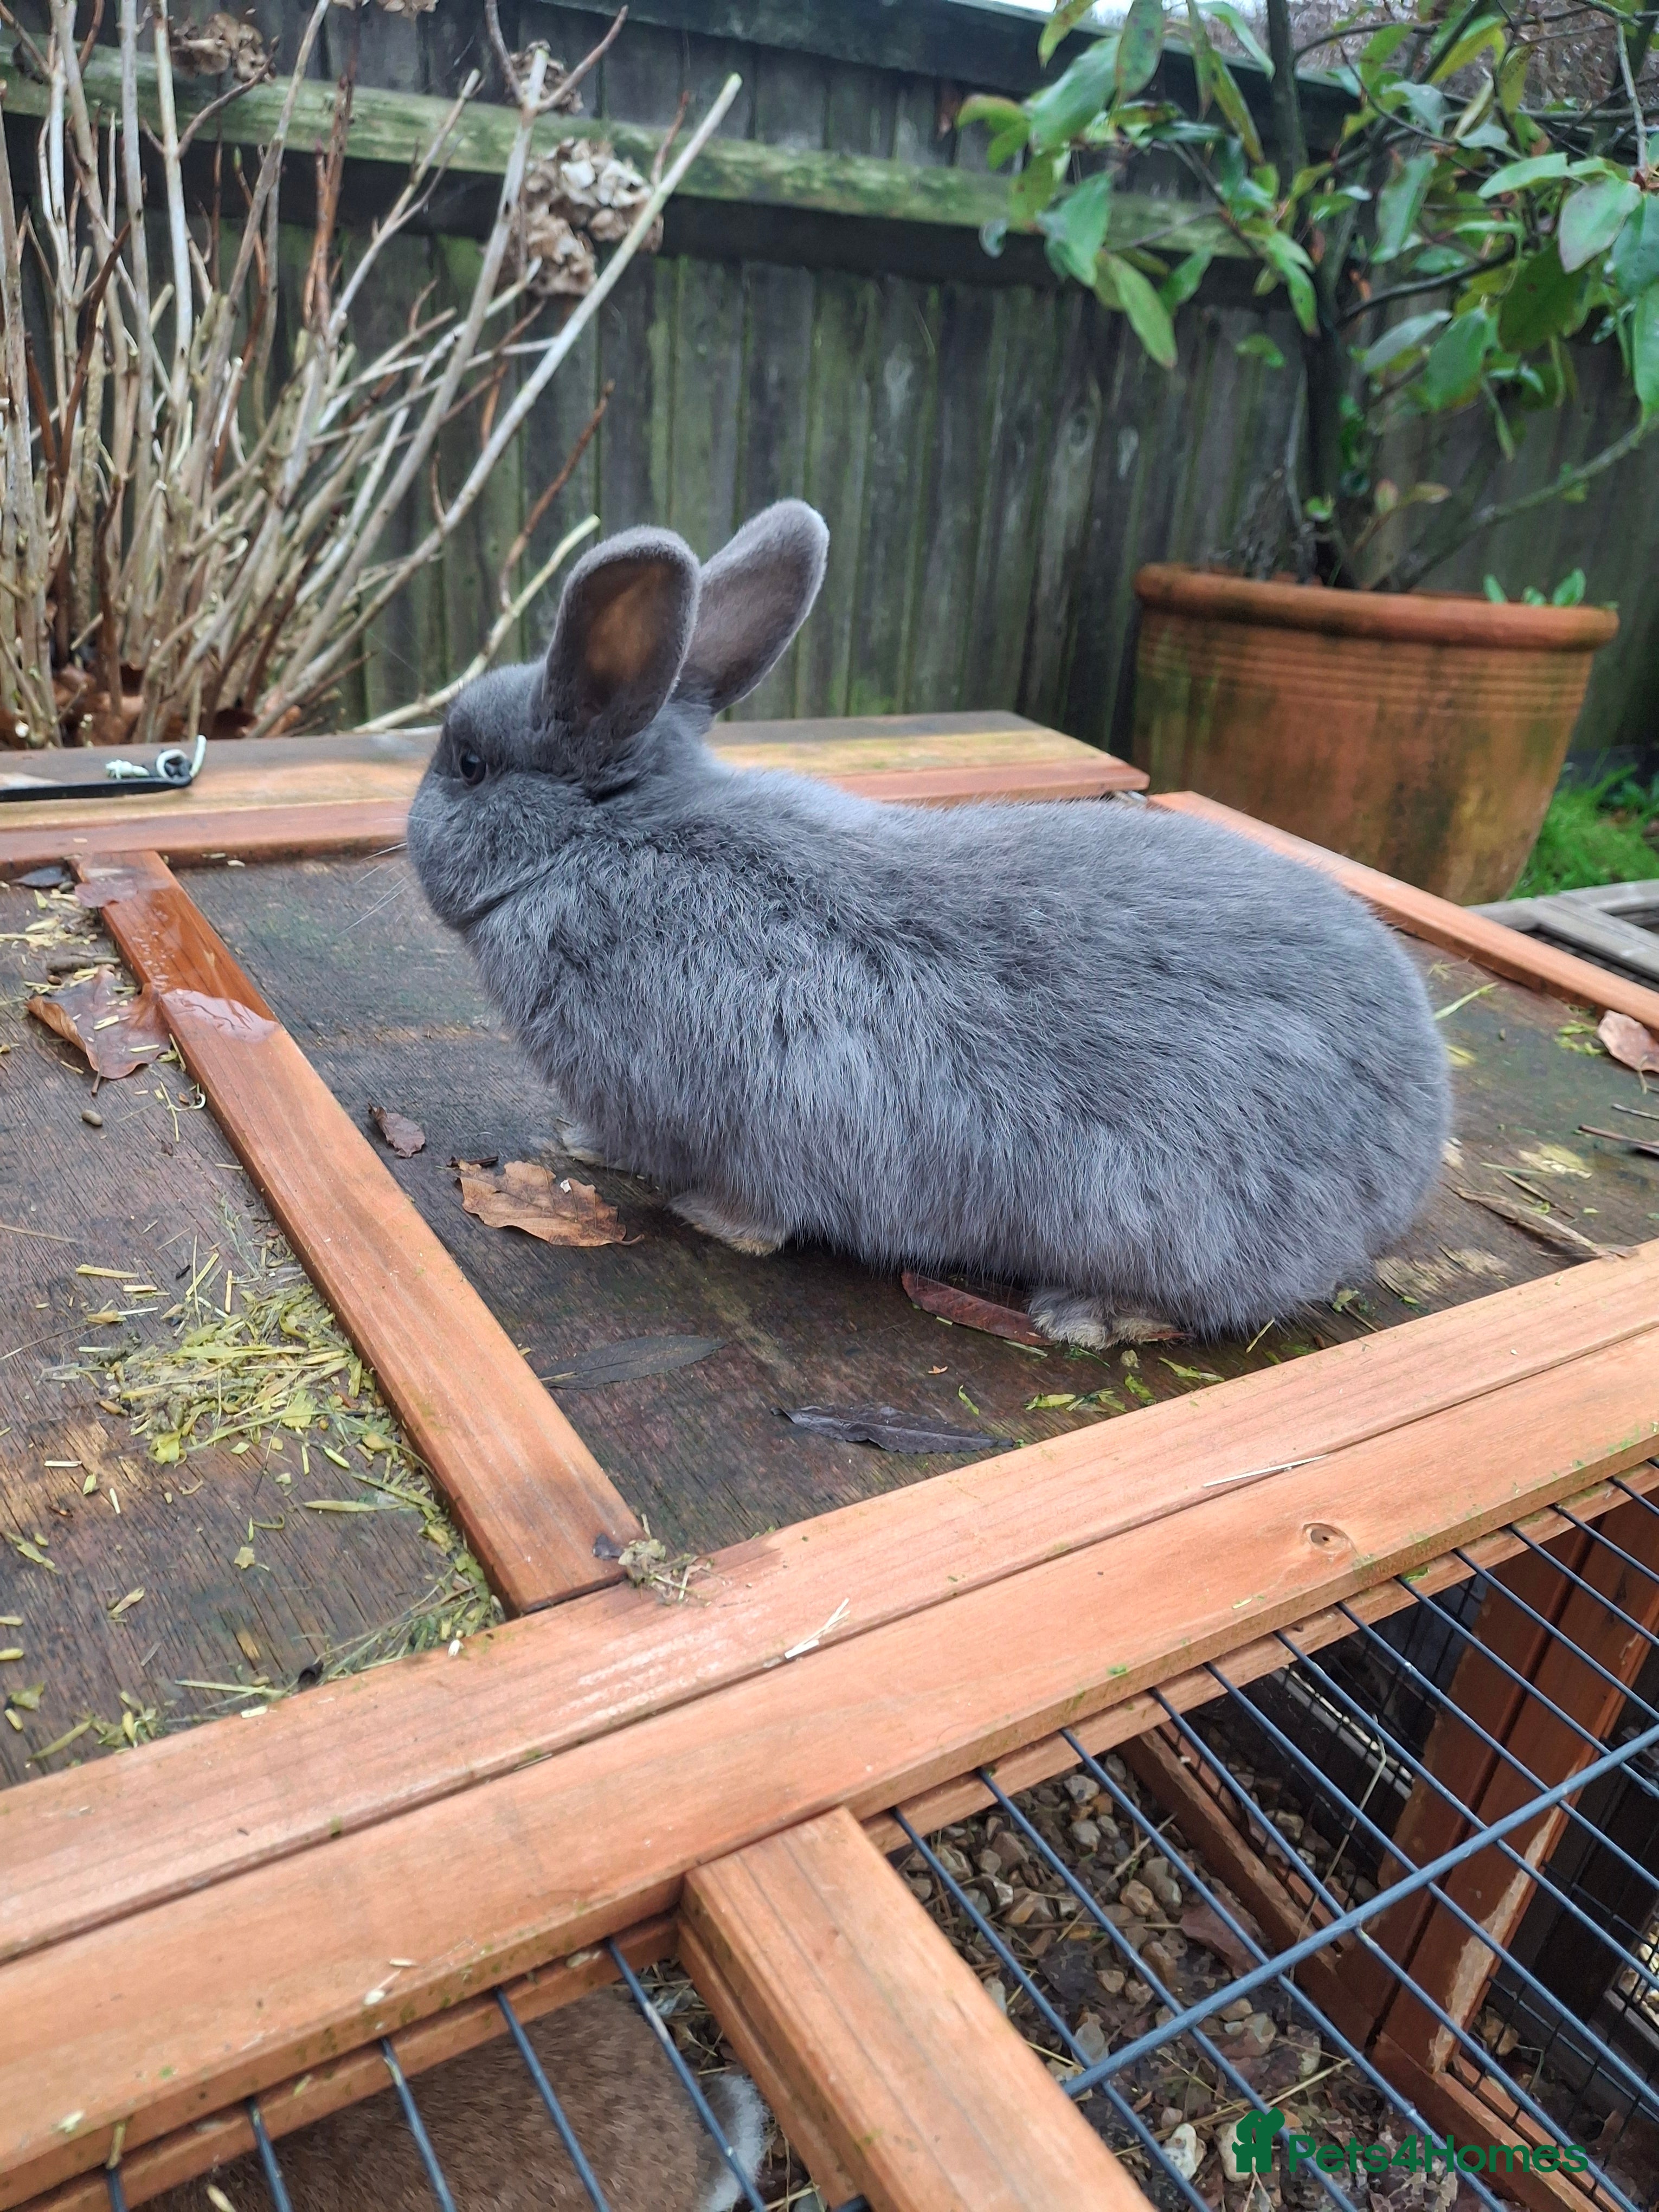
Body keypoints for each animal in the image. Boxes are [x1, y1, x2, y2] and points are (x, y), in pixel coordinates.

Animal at [407, 500, 1450, 1347]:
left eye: (467, 764)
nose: (411, 829)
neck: (602, 841)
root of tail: (1413, 1149)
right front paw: (587, 1143)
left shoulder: (740, 1117)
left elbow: (755, 1206)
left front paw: (707, 1219)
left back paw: (1082, 1315)